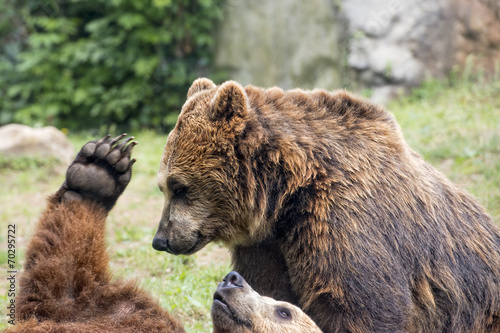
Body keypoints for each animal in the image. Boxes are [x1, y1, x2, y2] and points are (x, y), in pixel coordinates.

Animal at [152, 78, 500, 332]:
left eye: (179, 187)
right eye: (163, 186)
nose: (161, 240)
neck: (284, 196)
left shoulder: (344, 220)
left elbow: (362, 306)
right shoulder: (267, 246)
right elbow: (267, 288)